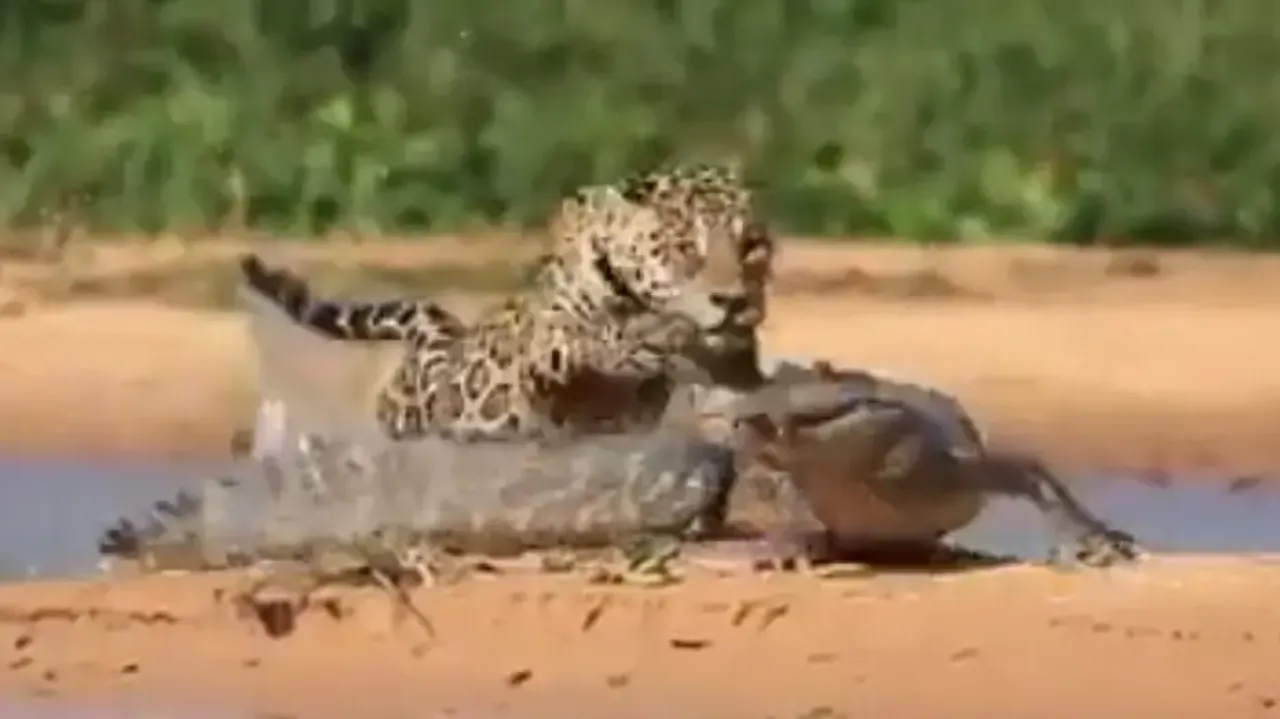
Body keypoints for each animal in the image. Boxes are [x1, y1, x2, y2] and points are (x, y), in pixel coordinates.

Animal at [239, 162, 774, 443]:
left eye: (751, 246)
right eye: (684, 248)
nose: (733, 300)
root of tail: (438, 345)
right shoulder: (544, 353)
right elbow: (579, 335)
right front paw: (629, 340)